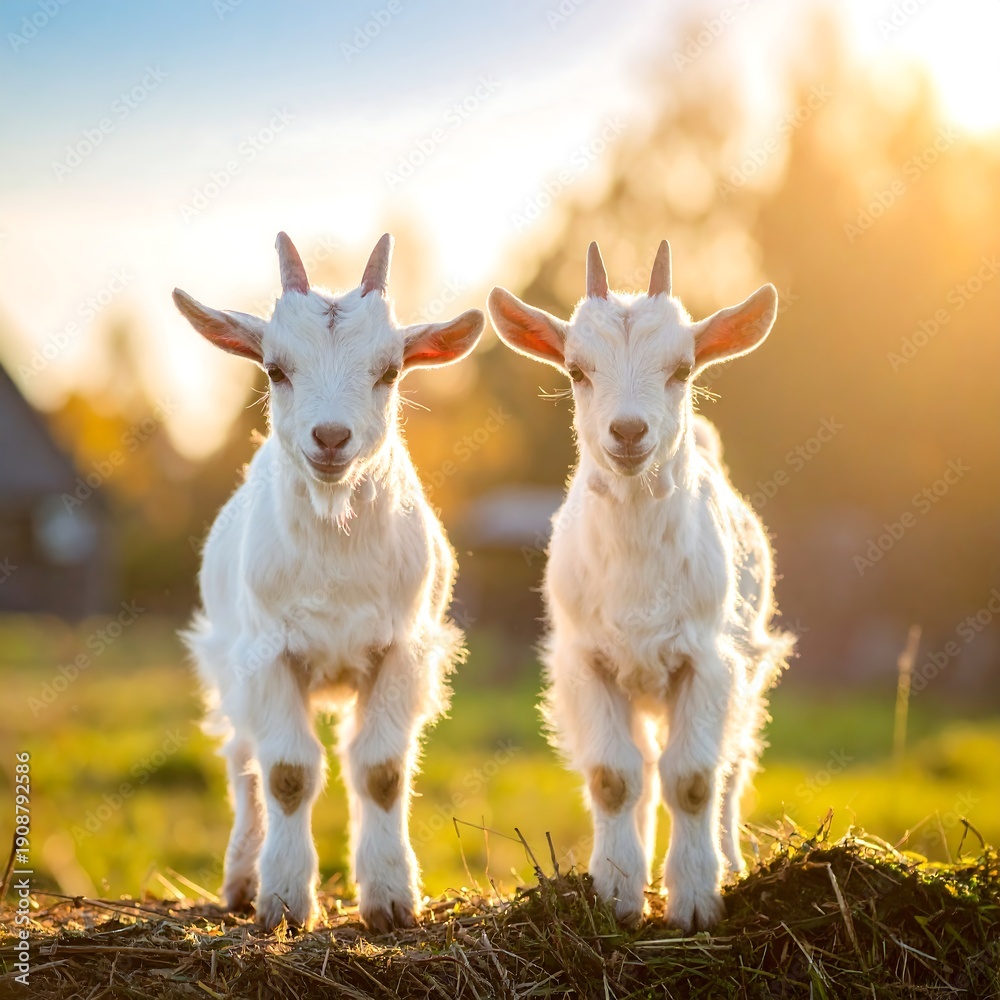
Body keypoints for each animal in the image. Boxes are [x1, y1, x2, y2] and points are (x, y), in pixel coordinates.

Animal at [173, 232, 484, 932]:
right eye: (274, 369)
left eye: (390, 371)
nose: (331, 438)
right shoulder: (268, 654)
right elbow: (287, 773)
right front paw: (285, 901)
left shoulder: (404, 649)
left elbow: (381, 771)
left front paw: (391, 899)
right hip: (229, 662)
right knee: (243, 762)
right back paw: (240, 880)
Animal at [487, 240, 793, 931]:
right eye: (576, 369)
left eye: (682, 367)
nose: (628, 433)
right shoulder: (585, 660)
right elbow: (614, 778)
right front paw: (619, 896)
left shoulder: (709, 660)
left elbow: (695, 780)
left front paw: (696, 903)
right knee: (647, 768)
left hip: (746, 666)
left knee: (730, 764)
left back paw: (729, 860)